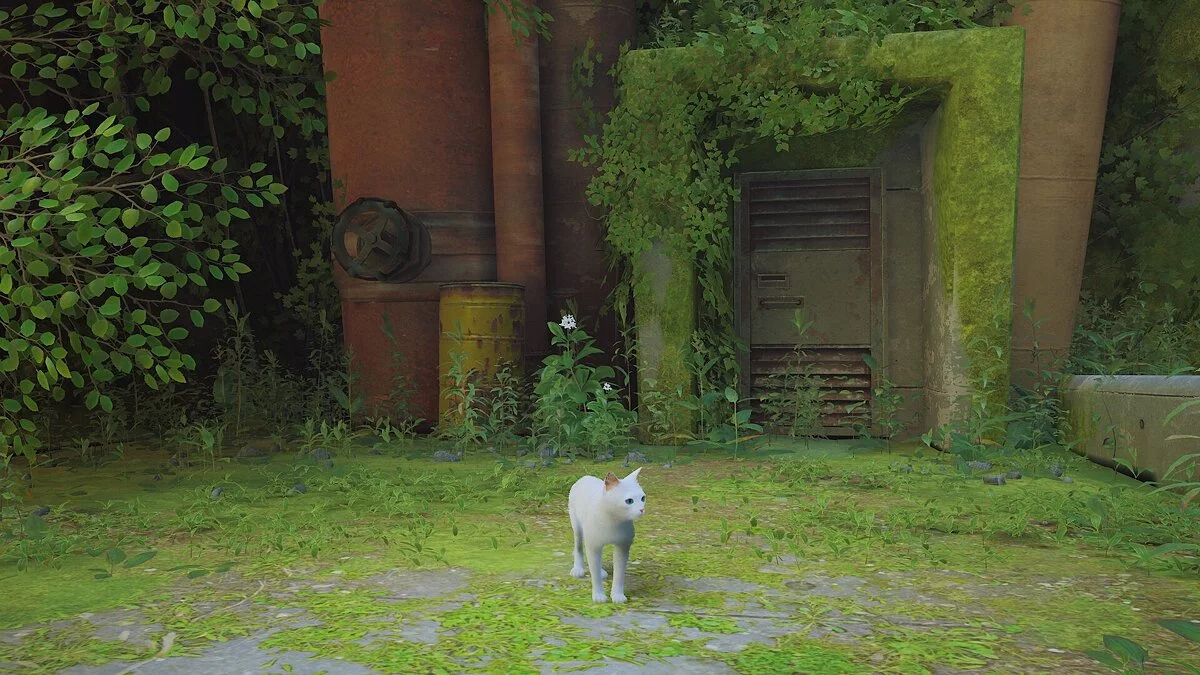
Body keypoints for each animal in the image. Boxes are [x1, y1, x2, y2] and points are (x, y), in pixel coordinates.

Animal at [564, 466, 643, 600]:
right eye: (629, 501)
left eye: (643, 498)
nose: (642, 509)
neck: (614, 521)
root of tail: (585, 477)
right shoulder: (593, 546)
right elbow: (594, 574)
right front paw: (599, 596)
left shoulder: (623, 547)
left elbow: (619, 574)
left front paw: (617, 596)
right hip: (577, 527)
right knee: (578, 548)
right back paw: (578, 569)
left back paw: (601, 572)